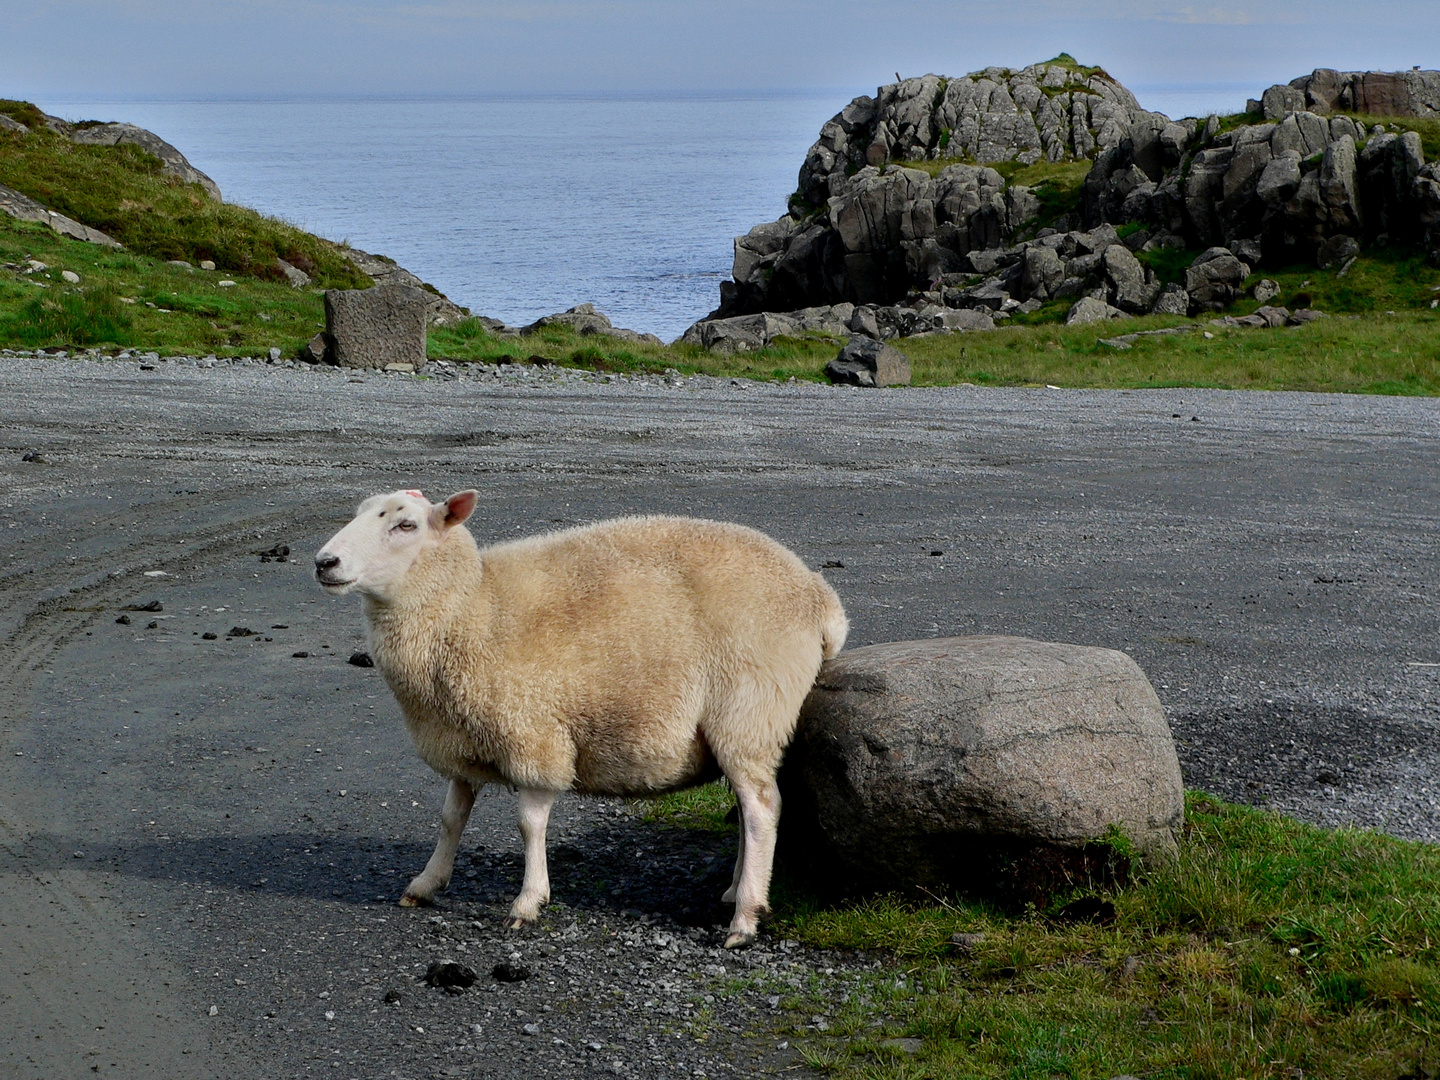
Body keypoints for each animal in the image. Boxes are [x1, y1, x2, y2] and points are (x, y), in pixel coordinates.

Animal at [315, 489, 846, 944]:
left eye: (404, 524)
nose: (324, 563)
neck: (471, 605)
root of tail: (821, 599)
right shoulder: (463, 737)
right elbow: (451, 818)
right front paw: (426, 883)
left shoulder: (533, 733)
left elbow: (529, 824)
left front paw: (528, 902)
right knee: (746, 808)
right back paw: (735, 891)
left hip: (751, 711)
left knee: (761, 809)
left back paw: (745, 917)